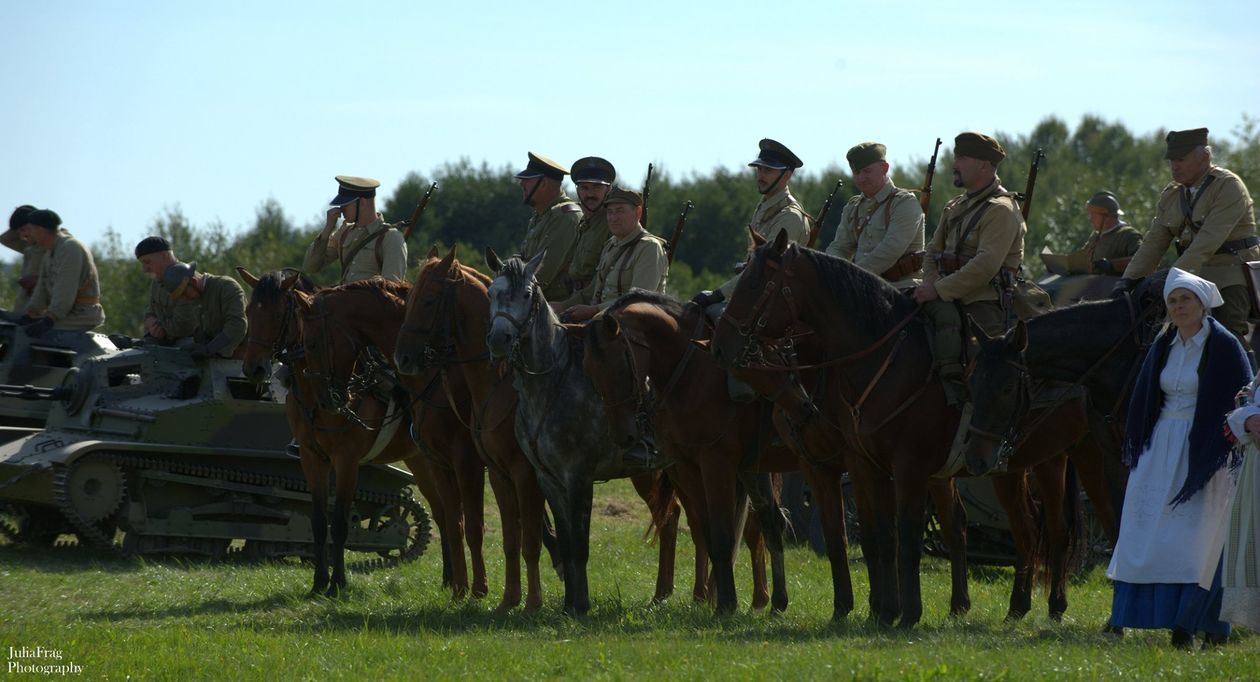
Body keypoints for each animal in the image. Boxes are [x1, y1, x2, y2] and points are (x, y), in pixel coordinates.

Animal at [238, 271, 483, 595]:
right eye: (250, 312)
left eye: (278, 314)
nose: (253, 368)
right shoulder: (311, 459)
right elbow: (319, 522)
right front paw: (319, 583)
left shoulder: (347, 460)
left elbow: (341, 521)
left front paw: (337, 584)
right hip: (420, 461)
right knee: (443, 513)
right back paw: (447, 578)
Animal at [395, 250, 700, 612]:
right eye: (493, 294)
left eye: (429, 299)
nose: (403, 358)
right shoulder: (499, 474)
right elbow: (510, 538)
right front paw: (508, 599)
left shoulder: (523, 473)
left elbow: (531, 538)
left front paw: (531, 601)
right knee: (677, 518)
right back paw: (669, 593)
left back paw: (691, 594)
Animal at [579, 288, 796, 612]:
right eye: (589, 369)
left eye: (619, 365)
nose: (623, 436)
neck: (693, 369)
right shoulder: (688, 467)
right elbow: (707, 531)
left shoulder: (716, 463)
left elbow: (722, 533)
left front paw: (725, 605)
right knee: (771, 521)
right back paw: (776, 603)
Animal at [715, 231, 1088, 625]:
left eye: (755, 283)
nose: (720, 346)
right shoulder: (848, 466)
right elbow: (866, 536)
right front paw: (872, 610)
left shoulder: (905, 467)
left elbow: (904, 537)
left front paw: (906, 612)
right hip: (1000, 468)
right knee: (1010, 529)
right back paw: (1004, 607)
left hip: (1049, 462)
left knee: (1053, 530)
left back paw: (1054, 605)